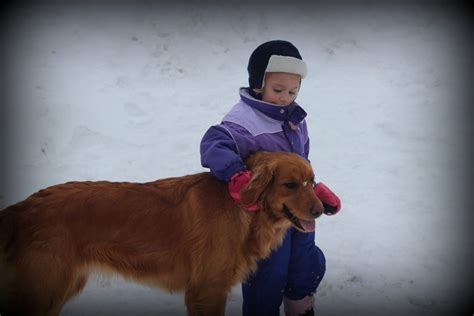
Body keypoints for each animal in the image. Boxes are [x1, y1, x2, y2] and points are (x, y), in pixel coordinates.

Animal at [0, 152, 324, 314]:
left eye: (311, 181)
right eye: (290, 185)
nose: (321, 210)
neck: (241, 206)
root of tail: (22, 207)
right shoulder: (207, 291)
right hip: (44, 291)